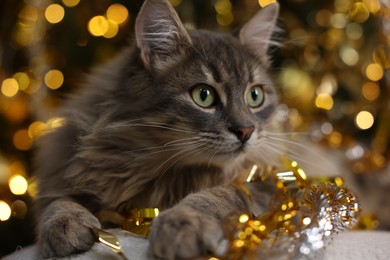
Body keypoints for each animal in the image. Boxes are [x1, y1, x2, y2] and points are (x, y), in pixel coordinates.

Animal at [34, 0, 280, 258]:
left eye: (255, 96)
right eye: (204, 95)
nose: (246, 131)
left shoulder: (265, 183)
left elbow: (217, 194)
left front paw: (181, 225)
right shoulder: (65, 172)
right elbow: (58, 202)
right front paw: (64, 224)